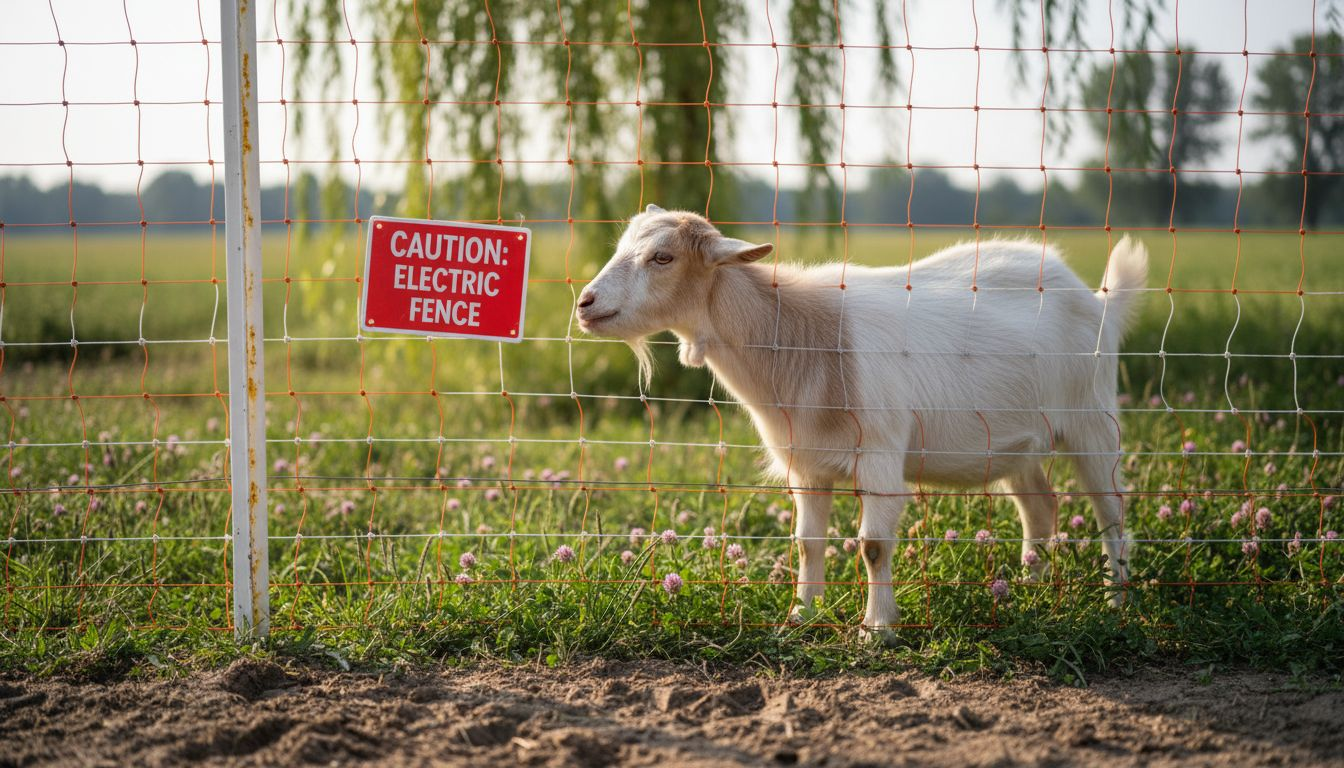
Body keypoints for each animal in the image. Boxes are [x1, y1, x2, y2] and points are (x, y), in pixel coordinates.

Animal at [577, 204, 1147, 639]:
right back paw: (1028, 593)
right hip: (1015, 442)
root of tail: (1099, 302)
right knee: (1041, 507)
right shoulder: (806, 464)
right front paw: (799, 619)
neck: (803, 339)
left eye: (663, 256)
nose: (584, 303)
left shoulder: (879, 454)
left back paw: (1117, 604)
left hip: (1094, 420)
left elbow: (873, 546)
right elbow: (806, 544)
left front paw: (877, 630)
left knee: (1112, 514)